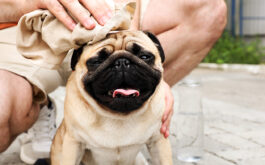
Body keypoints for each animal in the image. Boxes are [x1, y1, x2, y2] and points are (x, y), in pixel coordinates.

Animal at [50, 31, 172, 165]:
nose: (122, 62)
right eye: (97, 61)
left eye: (144, 56)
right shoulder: (73, 142)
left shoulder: (158, 140)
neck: (118, 117)